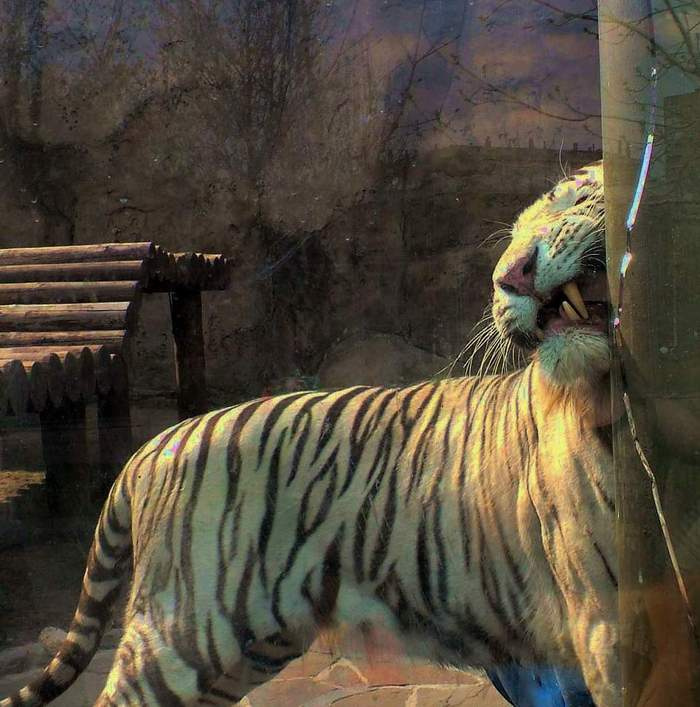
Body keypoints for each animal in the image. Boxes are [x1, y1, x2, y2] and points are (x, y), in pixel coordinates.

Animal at [1, 160, 618, 706]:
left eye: (569, 199)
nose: (508, 278)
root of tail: (153, 445)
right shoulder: (606, 621)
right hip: (185, 636)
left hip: (248, 648)